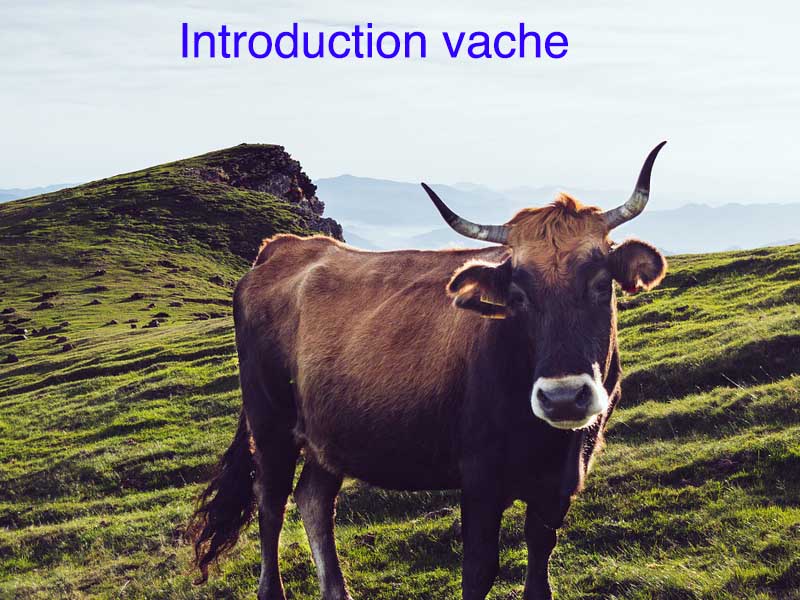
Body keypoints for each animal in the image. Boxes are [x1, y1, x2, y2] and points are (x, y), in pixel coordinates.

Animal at [188, 143, 669, 600]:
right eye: (517, 294)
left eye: (601, 283)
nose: (564, 397)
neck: (548, 443)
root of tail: (284, 247)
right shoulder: (480, 478)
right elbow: (478, 572)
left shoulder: (560, 484)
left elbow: (539, 572)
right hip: (269, 423)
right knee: (270, 506)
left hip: (329, 432)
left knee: (313, 499)